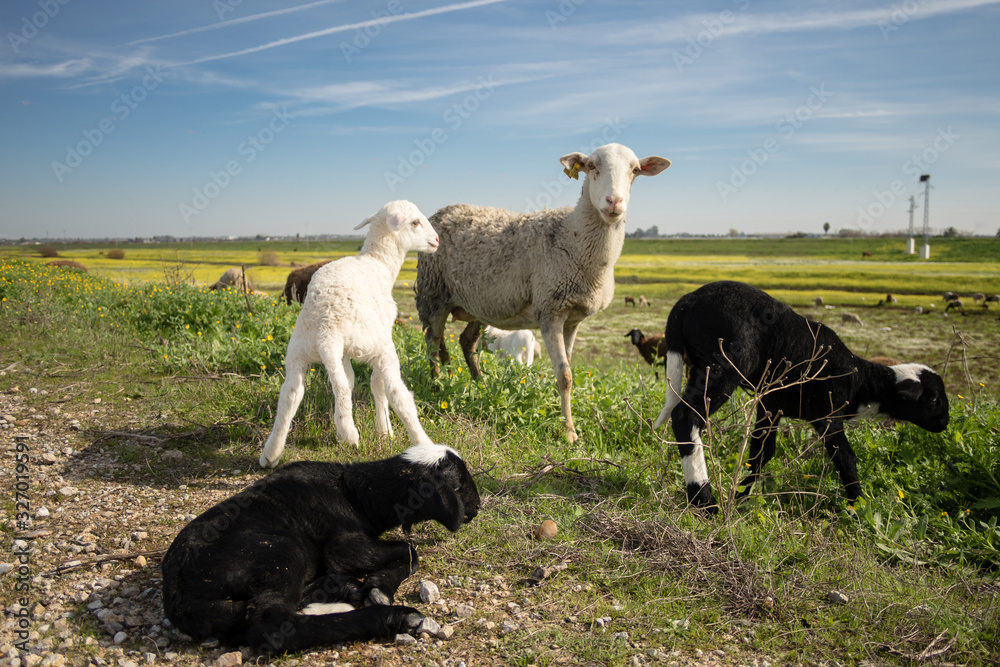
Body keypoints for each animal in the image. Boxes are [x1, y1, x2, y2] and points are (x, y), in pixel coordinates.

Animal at [162, 443, 480, 653]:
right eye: (460, 485)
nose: (478, 507)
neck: (355, 493)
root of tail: (177, 594)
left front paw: (375, 585)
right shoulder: (345, 548)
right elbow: (409, 550)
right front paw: (380, 588)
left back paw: (341, 590)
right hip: (280, 550)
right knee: (273, 625)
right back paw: (395, 617)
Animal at [259, 201, 440, 469]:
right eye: (415, 222)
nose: (437, 240)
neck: (379, 263)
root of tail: (326, 327)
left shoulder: (341, 353)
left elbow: (348, 379)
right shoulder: (381, 336)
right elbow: (377, 385)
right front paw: (384, 431)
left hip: (300, 350)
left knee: (292, 393)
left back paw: (271, 453)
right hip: (375, 344)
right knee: (397, 392)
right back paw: (421, 442)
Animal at [416, 143, 671, 443]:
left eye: (635, 170)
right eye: (592, 166)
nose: (614, 202)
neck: (571, 236)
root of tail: (443, 210)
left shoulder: (573, 318)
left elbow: (568, 368)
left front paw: (564, 418)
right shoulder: (551, 311)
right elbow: (565, 375)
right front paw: (570, 433)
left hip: (479, 303)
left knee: (466, 342)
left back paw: (480, 385)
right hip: (433, 294)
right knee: (433, 343)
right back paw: (437, 387)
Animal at [653, 281, 949, 513]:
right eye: (934, 399)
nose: (945, 423)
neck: (859, 382)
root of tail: (687, 301)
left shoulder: (770, 406)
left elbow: (761, 453)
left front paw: (740, 499)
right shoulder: (828, 415)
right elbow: (845, 458)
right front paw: (858, 506)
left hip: (700, 366)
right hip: (726, 363)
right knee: (686, 416)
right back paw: (704, 501)